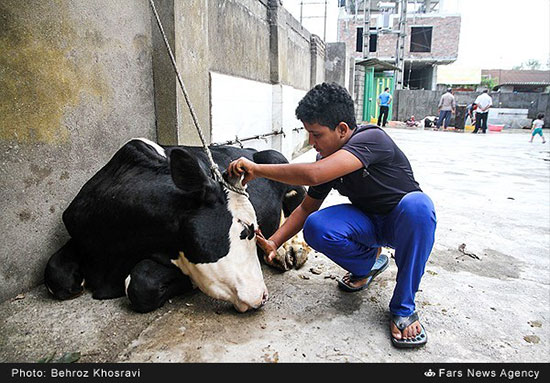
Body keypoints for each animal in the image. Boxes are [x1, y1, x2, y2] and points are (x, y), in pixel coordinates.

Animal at [45, 140, 306, 314]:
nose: (262, 295)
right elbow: (56, 273)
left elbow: (140, 284)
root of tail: (250, 149)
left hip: (283, 167)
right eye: (248, 230)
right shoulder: (78, 234)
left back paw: (290, 250)